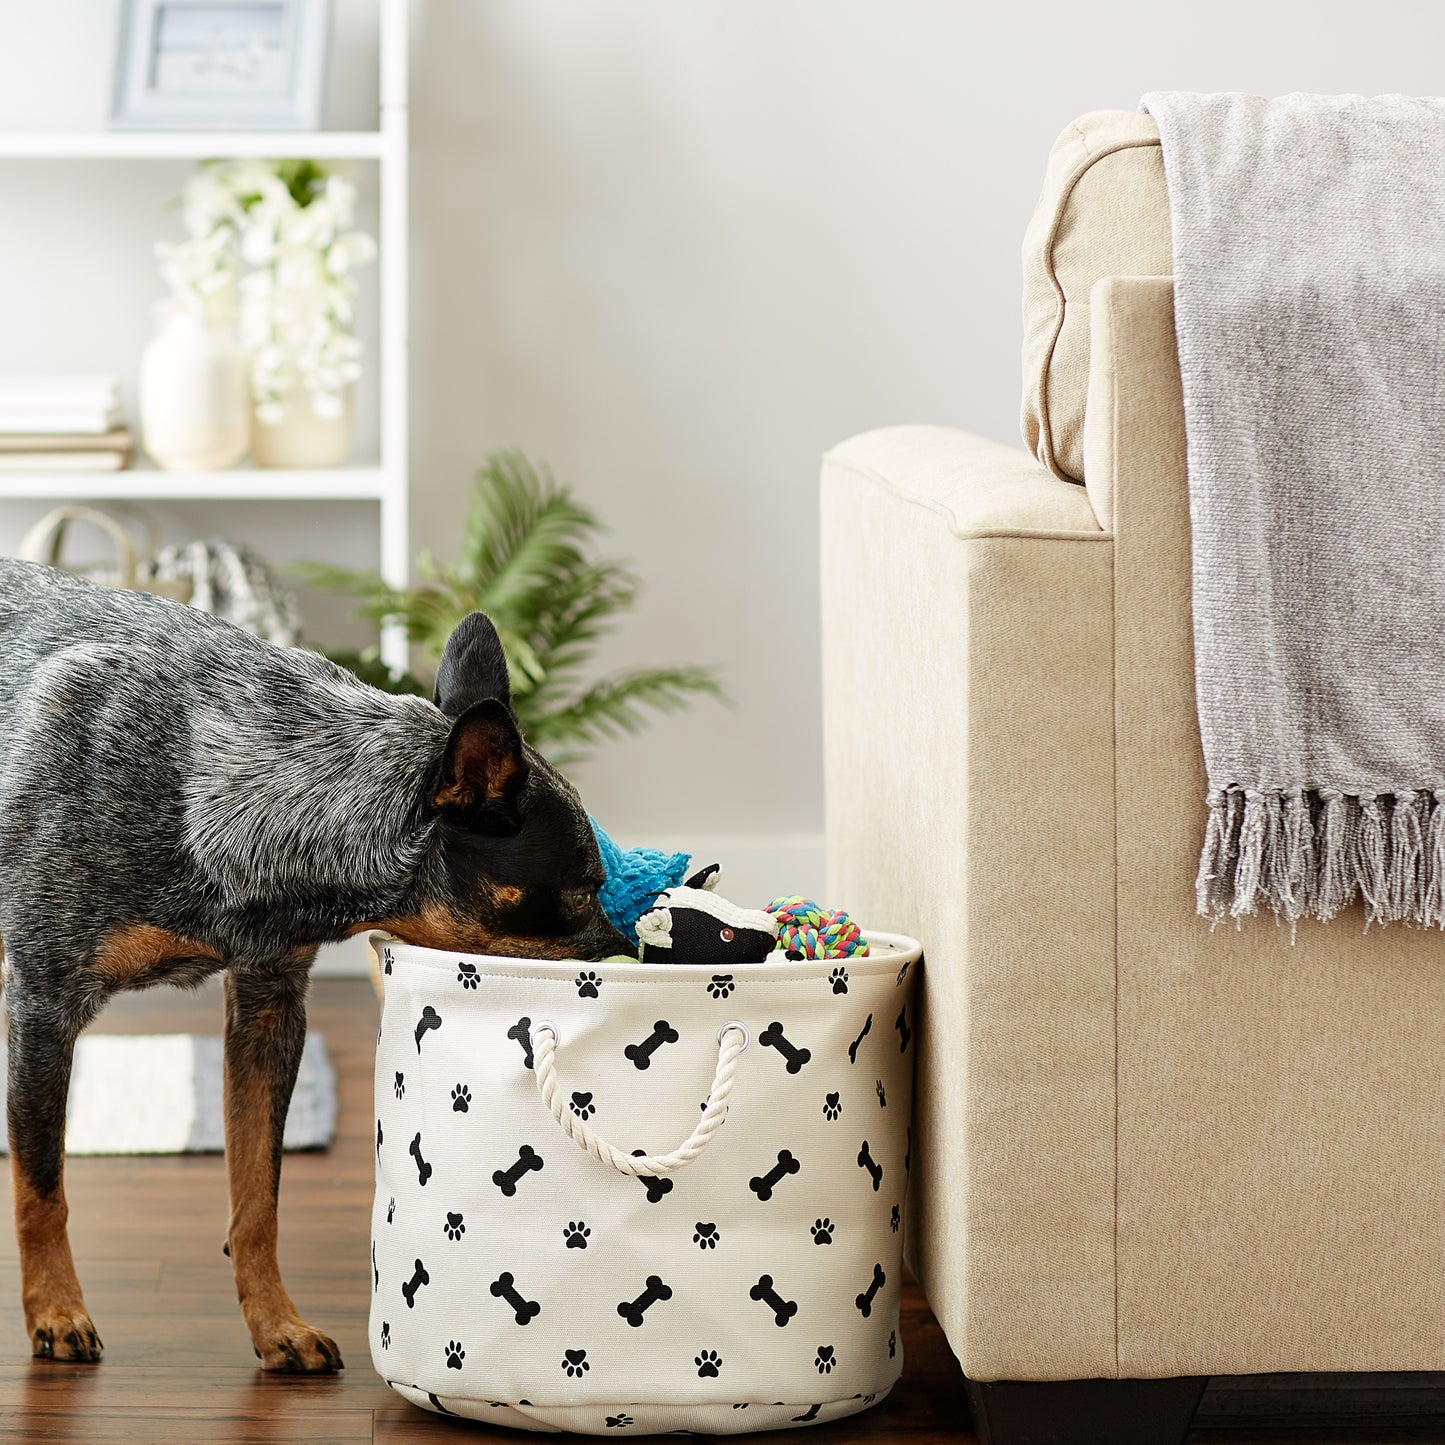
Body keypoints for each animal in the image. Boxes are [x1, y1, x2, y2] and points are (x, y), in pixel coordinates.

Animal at [1, 557, 632, 1369]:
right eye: (582, 890)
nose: (640, 954)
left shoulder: (269, 1005)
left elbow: (257, 1196)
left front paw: (276, 1324)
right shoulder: (44, 1002)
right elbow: (42, 1187)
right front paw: (56, 1310)